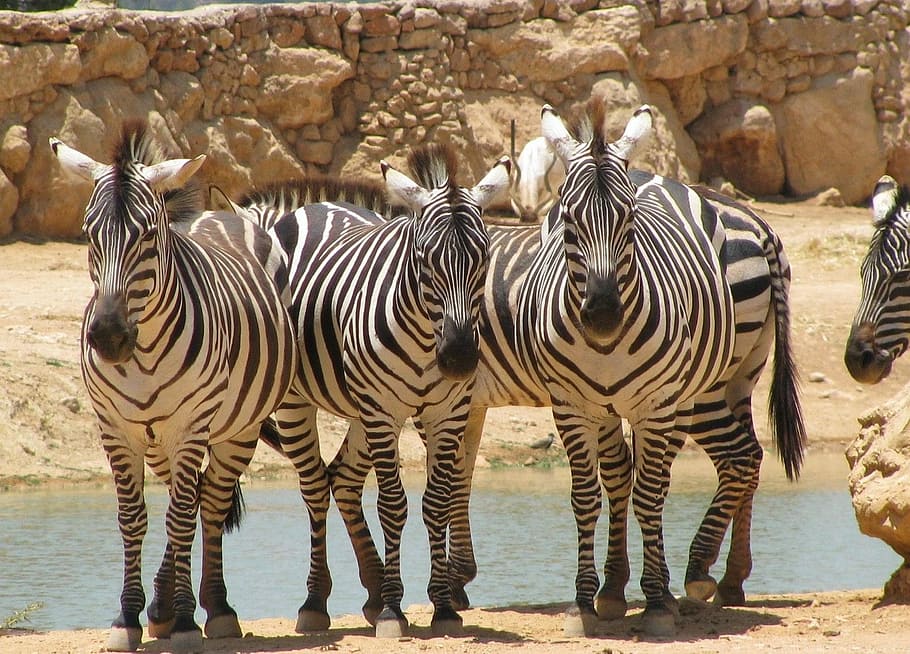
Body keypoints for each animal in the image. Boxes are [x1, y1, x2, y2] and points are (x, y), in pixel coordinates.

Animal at [49, 122, 301, 653]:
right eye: (88, 234)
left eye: (146, 235)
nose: (108, 336)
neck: (143, 354)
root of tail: (218, 212)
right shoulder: (116, 429)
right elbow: (134, 518)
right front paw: (129, 616)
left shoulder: (190, 426)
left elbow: (182, 515)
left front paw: (187, 621)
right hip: (159, 438)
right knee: (194, 498)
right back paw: (164, 607)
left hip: (236, 429)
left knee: (211, 502)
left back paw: (216, 609)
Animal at [237, 144, 510, 638]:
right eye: (424, 259)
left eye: (483, 258)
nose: (460, 358)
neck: (426, 336)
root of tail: (315, 207)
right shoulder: (384, 410)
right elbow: (392, 505)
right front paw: (393, 611)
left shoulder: (448, 411)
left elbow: (436, 503)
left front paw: (441, 605)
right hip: (303, 403)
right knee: (314, 486)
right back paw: (315, 602)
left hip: (361, 408)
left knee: (342, 478)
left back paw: (371, 590)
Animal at [515, 101, 806, 637]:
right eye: (566, 220)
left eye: (629, 219)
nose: (603, 314)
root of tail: (761, 226)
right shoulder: (572, 407)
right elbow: (591, 493)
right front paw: (588, 600)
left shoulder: (653, 404)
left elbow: (650, 493)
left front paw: (653, 602)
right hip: (728, 381)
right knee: (737, 457)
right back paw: (721, 577)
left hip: (706, 386)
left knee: (736, 457)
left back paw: (699, 572)